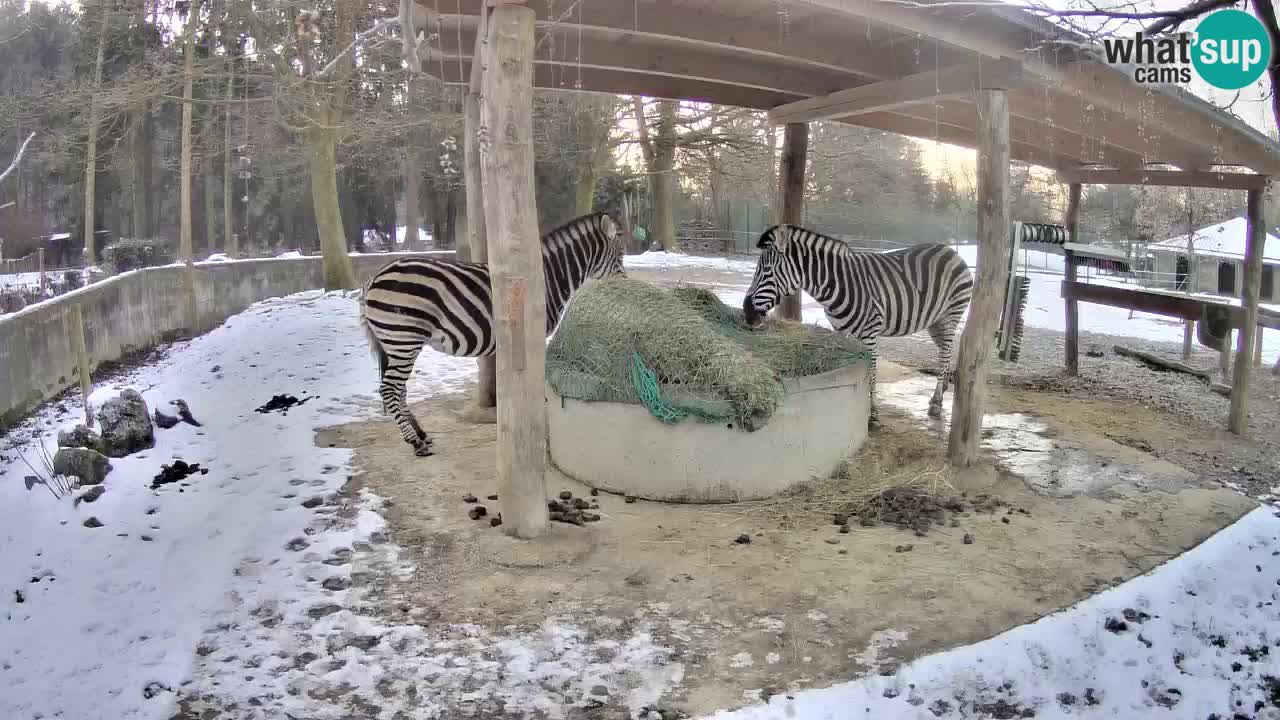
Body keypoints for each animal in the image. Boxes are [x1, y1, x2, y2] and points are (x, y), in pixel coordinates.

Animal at [360, 210, 624, 453]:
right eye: (620, 255)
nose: (625, 283)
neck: (547, 278)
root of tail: (374, 278)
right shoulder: (534, 333)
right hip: (403, 338)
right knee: (389, 389)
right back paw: (415, 442)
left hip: (396, 343)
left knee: (399, 390)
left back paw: (421, 435)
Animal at [742, 222, 967, 425]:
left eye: (767, 270)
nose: (746, 311)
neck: (838, 285)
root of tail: (950, 251)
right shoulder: (840, 330)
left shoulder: (870, 332)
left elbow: (873, 373)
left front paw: (873, 413)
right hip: (935, 321)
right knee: (944, 352)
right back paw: (942, 389)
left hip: (950, 315)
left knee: (945, 353)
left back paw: (936, 403)